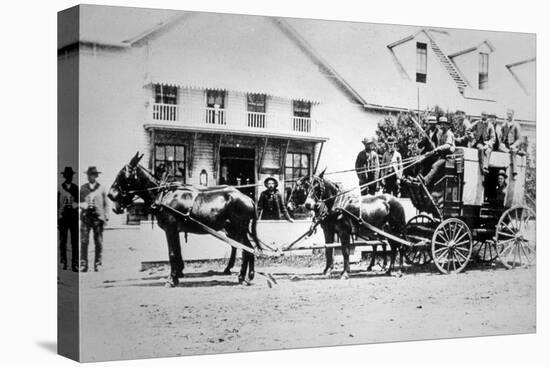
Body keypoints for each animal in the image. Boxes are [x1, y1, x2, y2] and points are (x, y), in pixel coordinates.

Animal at [109, 152, 264, 288]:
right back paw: (247, 275)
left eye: (123, 174)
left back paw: (243, 276)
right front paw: (177, 275)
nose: (111, 194)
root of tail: (248, 199)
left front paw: (171, 280)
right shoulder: (175, 230)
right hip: (235, 230)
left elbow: (172, 253)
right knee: (247, 248)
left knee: (247, 249)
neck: (162, 195)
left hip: (238, 229)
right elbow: (177, 252)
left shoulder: (170, 228)